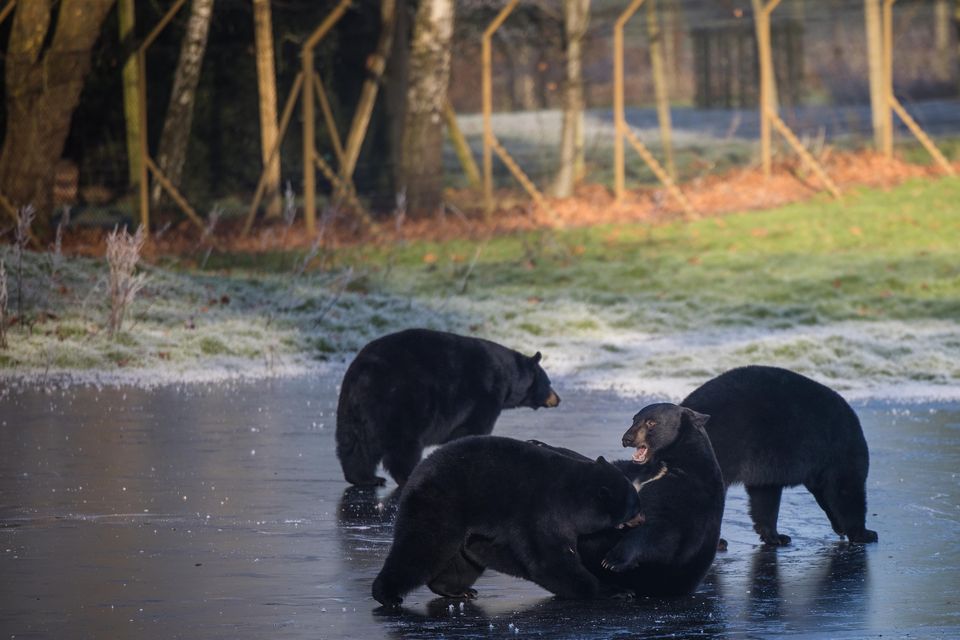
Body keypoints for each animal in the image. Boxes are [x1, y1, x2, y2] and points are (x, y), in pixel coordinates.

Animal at [338, 330, 564, 484]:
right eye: (549, 382)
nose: (558, 399)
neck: (507, 376)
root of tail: (364, 372)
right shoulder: (485, 395)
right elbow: (473, 429)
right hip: (403, 402)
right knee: (403, 445)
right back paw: (409, 474)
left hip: (352, 409)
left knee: (355, 445)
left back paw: (365, 478)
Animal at [372, 436, 640, 604]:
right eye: (634, 505)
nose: (642, 517)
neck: (574, 493)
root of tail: (416, 474)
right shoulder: (545, 512)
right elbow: (549, 561)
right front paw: (614, 591)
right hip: (440, 505)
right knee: (421, 547)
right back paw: (386, 594)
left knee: (460, 559)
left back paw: (455, 590)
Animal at [540, 402, 728, 596]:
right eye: (634, 419)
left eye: (651, 422)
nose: (627, 438)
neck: (663, 462)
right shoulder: (633, 471)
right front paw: (542, 444)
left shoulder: (688, 487)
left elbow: (664, 527)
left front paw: (613, 560)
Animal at [684, 364, 876, 544]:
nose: (840, 530)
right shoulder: (838, 452)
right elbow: (845, 490)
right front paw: (864, 533)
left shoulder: (765, 466)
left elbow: (764, 496)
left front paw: (775, 536)